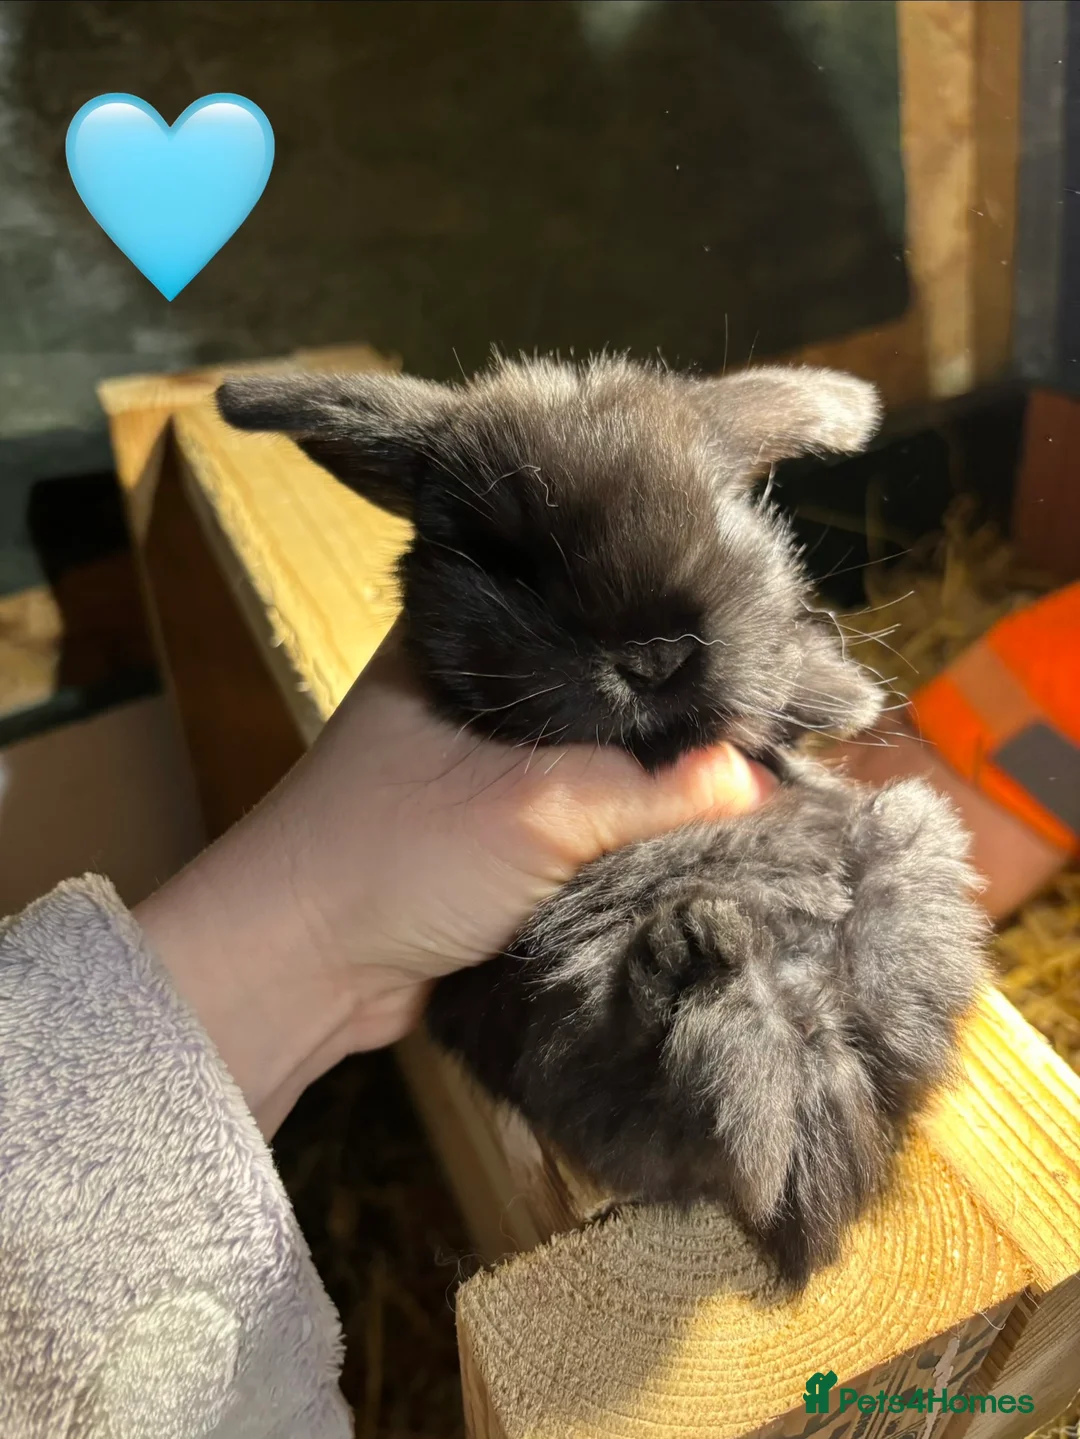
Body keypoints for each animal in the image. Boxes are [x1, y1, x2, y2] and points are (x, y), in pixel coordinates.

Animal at [216, 355, 988, 1287]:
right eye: (509, 558)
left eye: (723, 514)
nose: (657, 654)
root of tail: (807, 1048)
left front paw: (842, 693)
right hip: (564, 1001)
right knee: (650, 1065)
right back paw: (694, 947)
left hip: (912, 844)